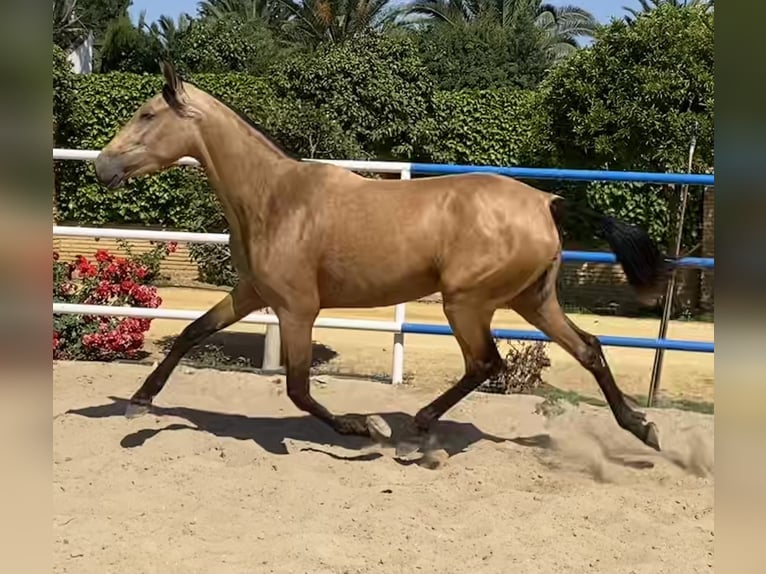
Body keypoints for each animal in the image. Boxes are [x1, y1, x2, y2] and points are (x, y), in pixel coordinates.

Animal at [94, 59, 672, 454]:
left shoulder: (297, 309)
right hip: (532, 300)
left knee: (487, 363)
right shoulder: (252, 293)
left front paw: (361, 427)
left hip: (467, 303)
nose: (102, 167)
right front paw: (139, 402)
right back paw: (642, 428)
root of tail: (546, 201)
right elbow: (192, 333)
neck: (274, 198)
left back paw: (415, 428)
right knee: (589, 348)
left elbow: (299, 388)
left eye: (146, 114)